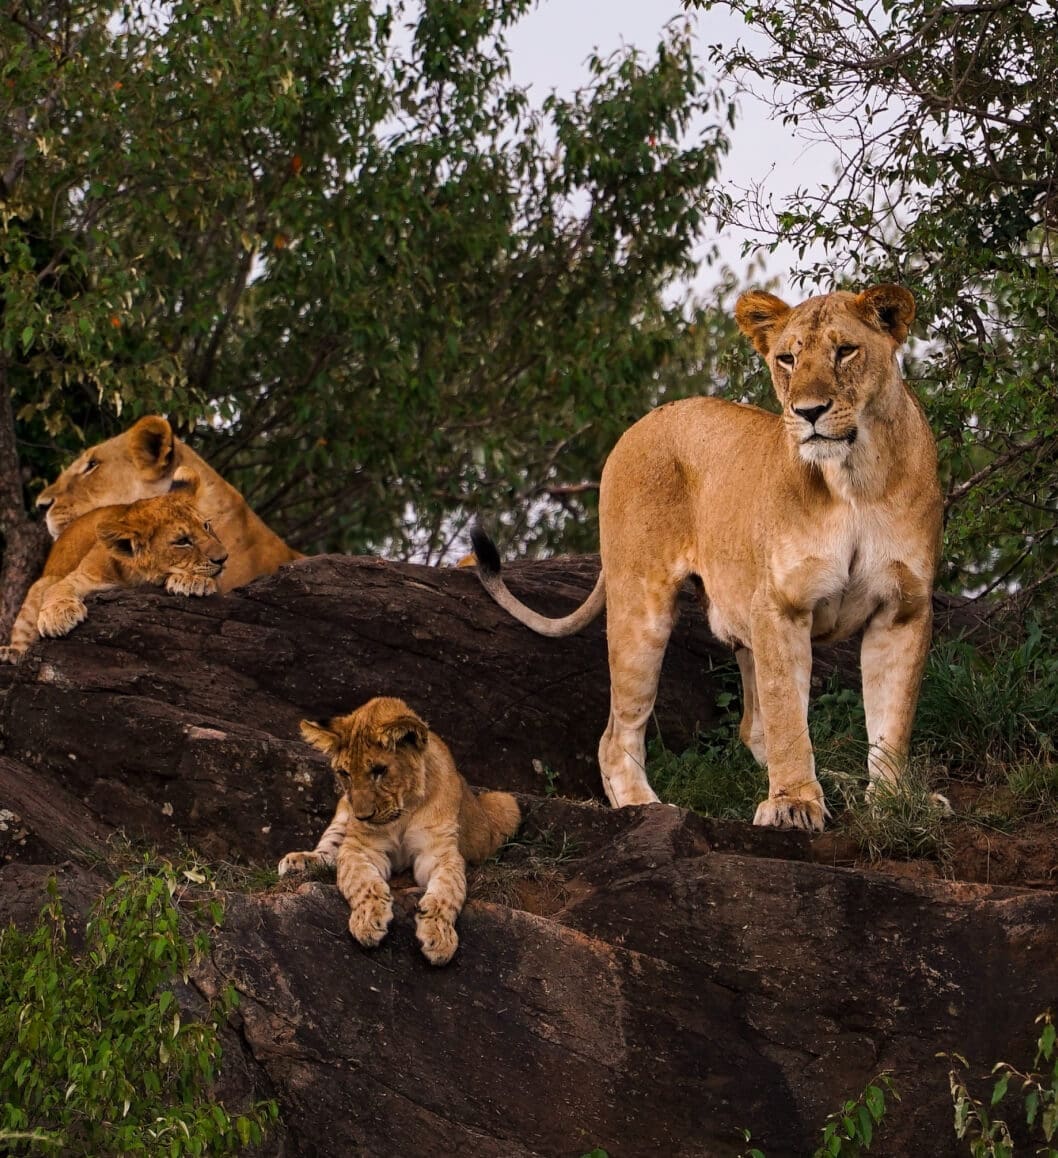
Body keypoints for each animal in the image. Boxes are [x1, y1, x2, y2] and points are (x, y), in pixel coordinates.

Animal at [0, 468, 228, 662]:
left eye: (206, 526)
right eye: (182, 541)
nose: (224, 558)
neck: (136, 576)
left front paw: (194, 581)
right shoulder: (82, 576)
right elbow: (59, 588)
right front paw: (57, 617)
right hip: (39, 587)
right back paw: (10, 653)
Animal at [278, 696, 521, 966]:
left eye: (379, 770)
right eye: (344, 773)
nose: (361, 816)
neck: (404, 809)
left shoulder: (438, 853)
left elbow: (447, 891)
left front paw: (439, 935)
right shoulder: (361, 848)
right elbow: (363, 881)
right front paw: (368, 920)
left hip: (505, 802)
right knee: (330, 851)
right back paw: (297, 862)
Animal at [471, 285, 943, 832]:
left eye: (845, 351)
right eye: (787, 358)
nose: (808, 411)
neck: (853, 479)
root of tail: (641, 422)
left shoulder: (903, 607)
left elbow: (890, 720)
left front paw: (894, 801)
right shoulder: (779, 606)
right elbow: (787, 714)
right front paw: (795, 804)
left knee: (752, 725)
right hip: (642, 609)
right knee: (617, 736)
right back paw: (649, 807)